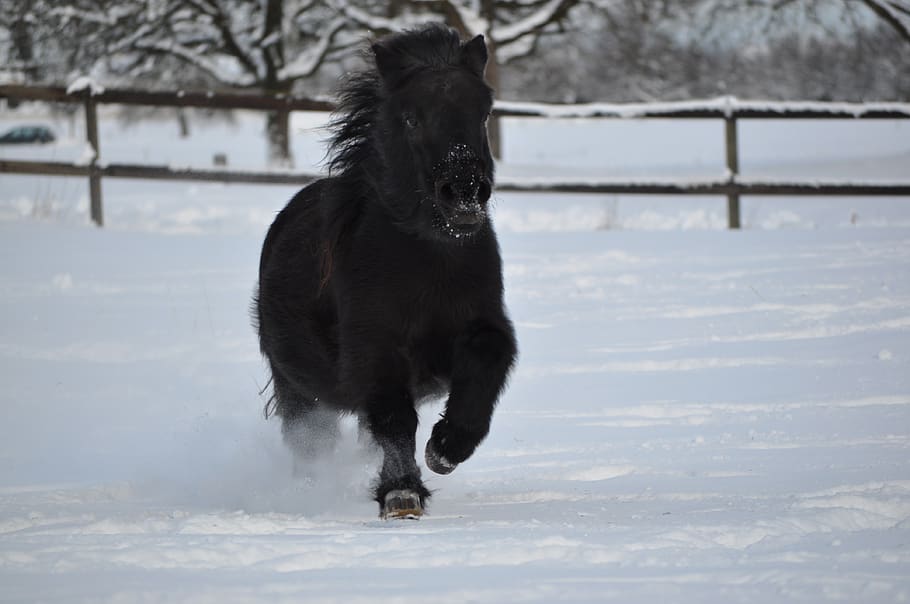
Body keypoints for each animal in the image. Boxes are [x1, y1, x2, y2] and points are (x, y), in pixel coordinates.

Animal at [255, 23, 517, 519]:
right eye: (412, 119)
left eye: (484, 113)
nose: (464, 193)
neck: (431, 267)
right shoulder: (375, 349)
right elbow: (395, 420)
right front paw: (401, 493)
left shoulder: (479, 327)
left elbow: (487, 366)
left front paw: (445, 448)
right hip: (298, 391)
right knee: (311, 445)